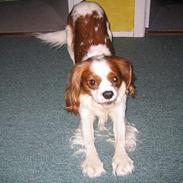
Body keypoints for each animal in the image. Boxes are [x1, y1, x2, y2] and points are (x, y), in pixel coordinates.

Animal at [36, 0, 137, 178]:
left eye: (115, 79)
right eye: (92, 82)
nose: (108, 94)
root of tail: (85, 2)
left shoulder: (119, 112)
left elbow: (120, 138)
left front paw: (122, 161)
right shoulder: (86, 116)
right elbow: (89, 140)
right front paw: (92, 163)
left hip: (109, 30)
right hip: (69, 39)